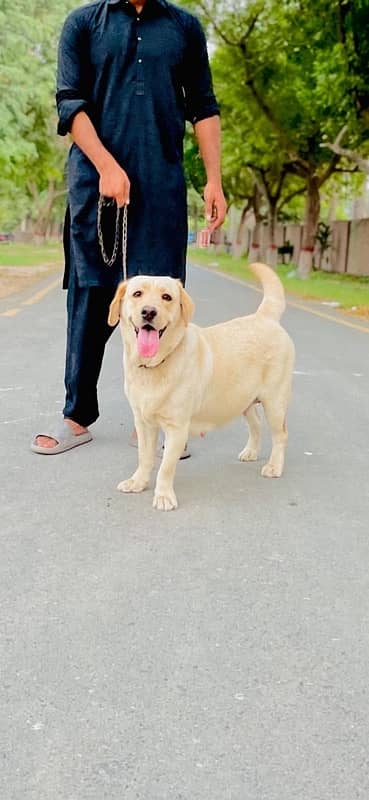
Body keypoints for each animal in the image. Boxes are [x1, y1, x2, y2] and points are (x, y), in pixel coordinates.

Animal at [108, 262, 294, 512]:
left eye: (166, 297)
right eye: (137, 294)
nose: (148, 312)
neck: (154, 365)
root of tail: (265, 317)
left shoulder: (177, 428)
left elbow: (166, 467)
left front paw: (164, 495)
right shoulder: (143, 423)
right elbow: (144, 457)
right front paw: (138, 482)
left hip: (274, 402)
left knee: (281, 435)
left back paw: (274, 466)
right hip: (243, 400)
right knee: (256, 425)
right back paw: (251, 452)